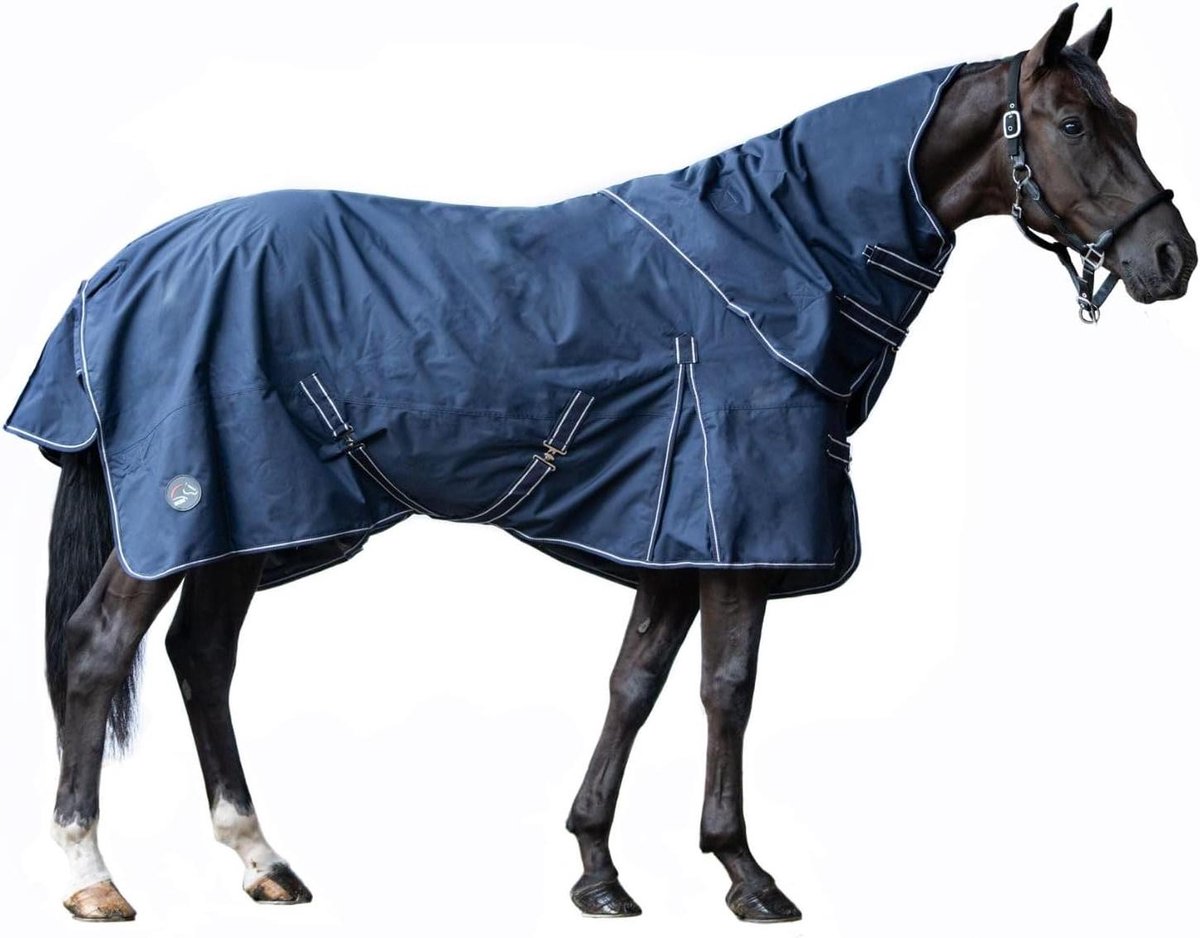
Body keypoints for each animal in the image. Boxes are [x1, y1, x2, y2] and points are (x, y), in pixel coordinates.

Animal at [5, 4, 1193, 924]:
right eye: (1075, 121)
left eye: (1129, 117)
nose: (1169, 258)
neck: (779, 254)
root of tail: (126, 267)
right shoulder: (733, 534)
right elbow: (725, 690)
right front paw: (745, 874)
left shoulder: (667, 533)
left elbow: (634, 685)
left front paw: (598, 871)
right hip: (186, 511)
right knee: (100, 650)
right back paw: (90, 876)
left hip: (249, 520)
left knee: (202, 656)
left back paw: (264, 861)